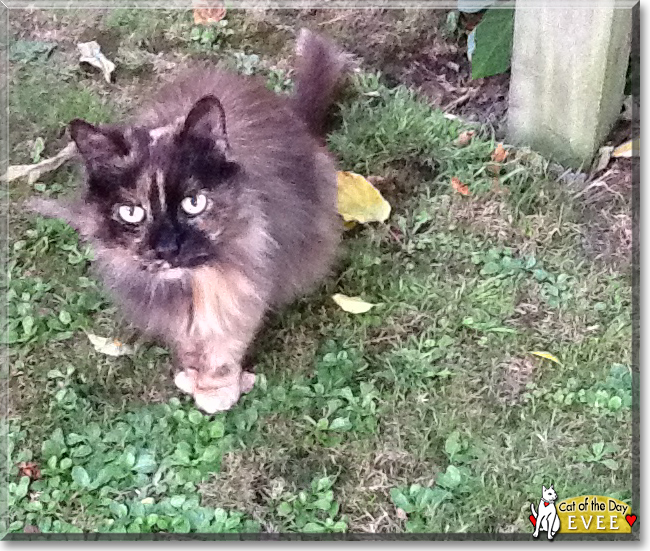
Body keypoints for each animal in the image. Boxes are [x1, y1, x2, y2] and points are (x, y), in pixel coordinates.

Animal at [29, 27, 350, 414]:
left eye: (193, 203)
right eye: (132, 212)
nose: (167, 248)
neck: (193, 286)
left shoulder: (246, 286)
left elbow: (225, 348)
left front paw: (217, 390)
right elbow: (187, 342)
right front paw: (191, 374)